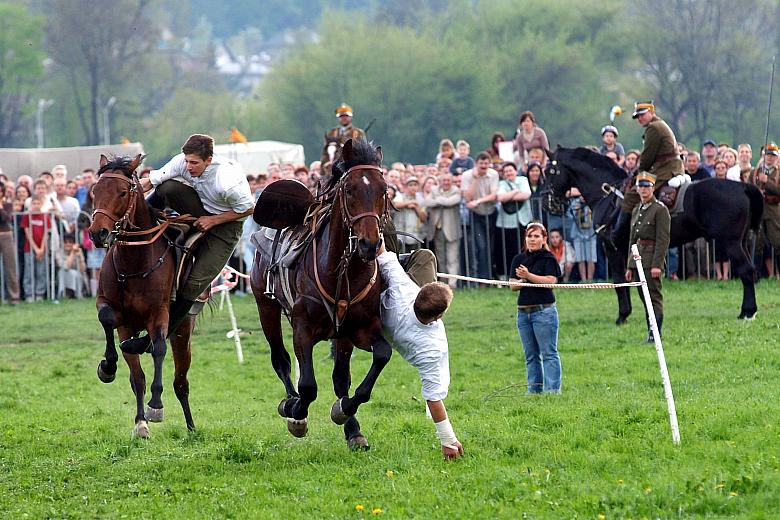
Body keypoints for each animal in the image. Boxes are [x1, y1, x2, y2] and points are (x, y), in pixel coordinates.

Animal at [90, 155, 195, 438]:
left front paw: (156, 405)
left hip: (184, 333)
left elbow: (159, 347)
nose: (97, 233)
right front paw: (108, 366)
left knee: (181, 381)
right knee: (136, 372)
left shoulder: (159, 314)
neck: (134, 263)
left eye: (123, 192)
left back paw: (191, 427)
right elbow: (108, 320)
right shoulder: (110, 306)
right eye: (94, 191)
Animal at [253, 139, 394, 450]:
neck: (341, 274)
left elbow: (380, 356)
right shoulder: (303, 327)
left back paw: (352, 428)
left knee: (340, 377)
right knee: (280, 359)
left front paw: (346, 413)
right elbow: (307, 385)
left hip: (340, 336)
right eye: (350, 190)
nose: (369, 244)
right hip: (265, 305)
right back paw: (291, 403)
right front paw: (296, 413)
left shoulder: (358, 329)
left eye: (383, 190)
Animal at [544, 146, 764, 322]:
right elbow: (632, 282)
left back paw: (747, 311)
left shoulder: (612, 248)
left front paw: (623, 315)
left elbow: (619, 281)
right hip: (741, 242)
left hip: (731, 243)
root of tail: (743, 186)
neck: (606, 195)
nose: (549, 202)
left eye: (550, 171)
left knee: (746, 271)